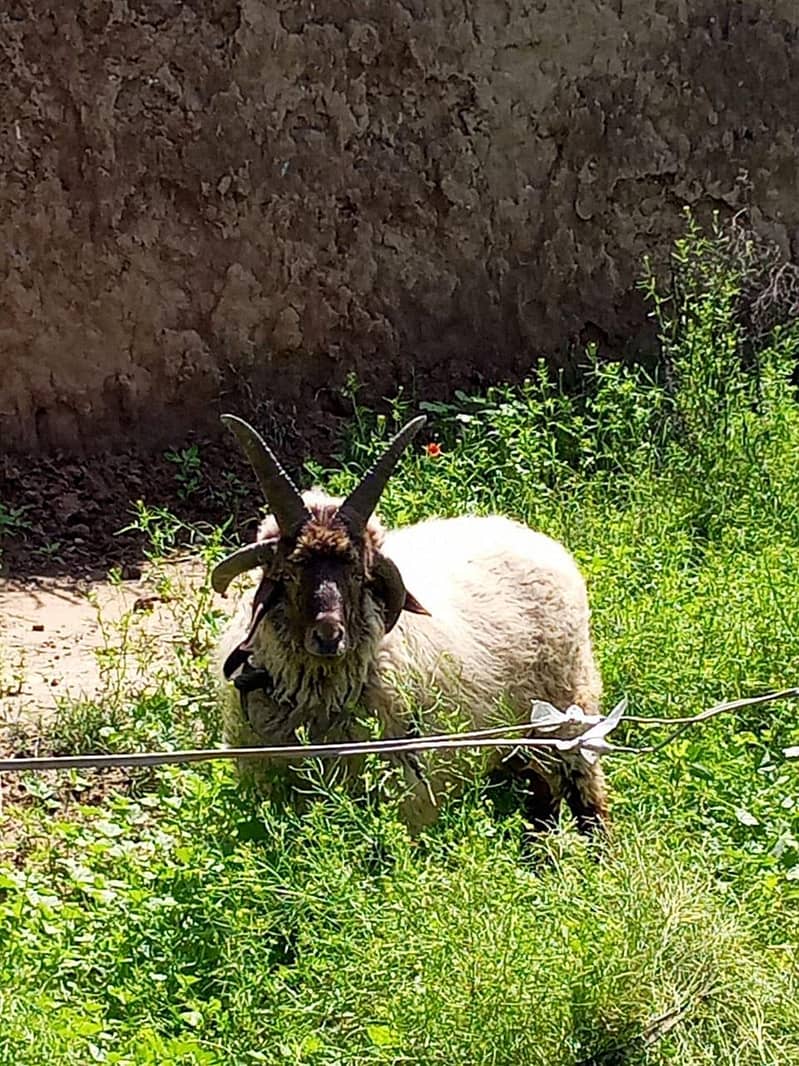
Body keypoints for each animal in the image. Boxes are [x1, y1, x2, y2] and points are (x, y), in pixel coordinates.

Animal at [213, 413, 608, 835]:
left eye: (359, 575)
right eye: (286, 574)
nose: (329, 636)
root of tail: (525, 533)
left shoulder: (408, 795)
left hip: (570, 711)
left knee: (586, 799)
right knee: (542, 803)